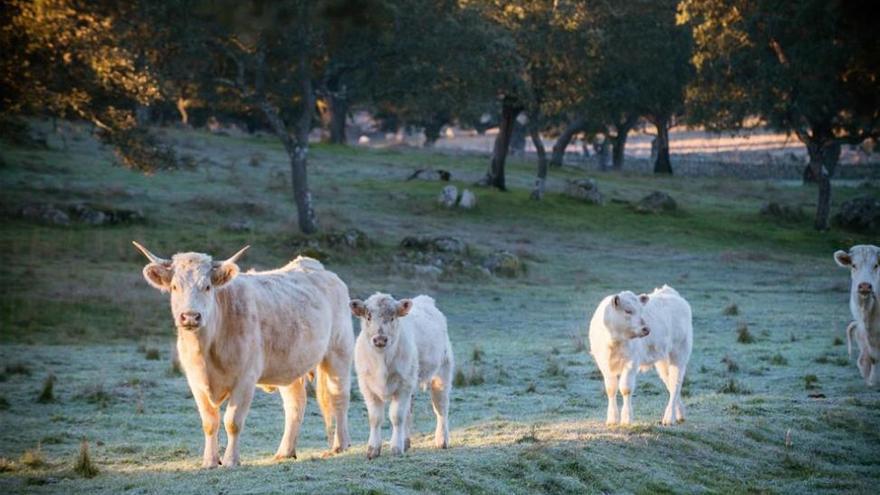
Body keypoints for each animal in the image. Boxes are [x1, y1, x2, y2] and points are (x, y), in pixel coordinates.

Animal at [132, 244, 352, 468]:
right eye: (175, 287)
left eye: (208, 287)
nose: (190, 317)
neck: (206, 349)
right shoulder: (196, 381)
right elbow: (209, 422)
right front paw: (210, 461)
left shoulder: (246, 379)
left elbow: (232, 422)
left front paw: (231, 460)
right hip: (290, 364)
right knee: (295, 404)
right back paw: (285, 452)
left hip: (339, 351)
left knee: (339, 397)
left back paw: (340, 445)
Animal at [348, 294, 454, 462]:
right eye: (368, 316)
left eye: (392, 317)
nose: (380, 339)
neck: (381, 361)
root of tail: (425, 299)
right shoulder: (366, 386)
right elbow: (375, 418)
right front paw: (373, 449)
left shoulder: (403, 385)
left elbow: (396, 416)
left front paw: (396, 448)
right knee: (409, 412)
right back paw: (406, 441)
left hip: (442, 372)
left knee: (441, 408)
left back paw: (442, 440)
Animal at [588, 284, 692, 428]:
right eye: (628, 311)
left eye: (641, 311)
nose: (646, 329)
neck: (614, 341)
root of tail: (669, 291)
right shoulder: (604, 364)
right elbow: (611, 388)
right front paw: (612, 419)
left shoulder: (631, 362)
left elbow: (625, 388)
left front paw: (626, 419)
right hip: (663, 361)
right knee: (670, 384)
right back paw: (680, 414)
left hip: (679, 354)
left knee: (675, 383)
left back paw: (668, 418)